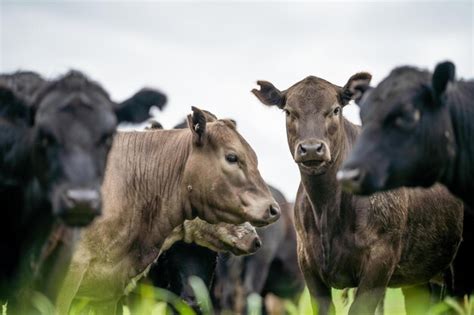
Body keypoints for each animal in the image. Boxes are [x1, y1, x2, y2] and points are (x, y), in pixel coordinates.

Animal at [254, 75, 464, 314]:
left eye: (335, 109)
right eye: (289, 111)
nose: (311, 148)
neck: (326, 208)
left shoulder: (380, 261)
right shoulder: (307, 263)